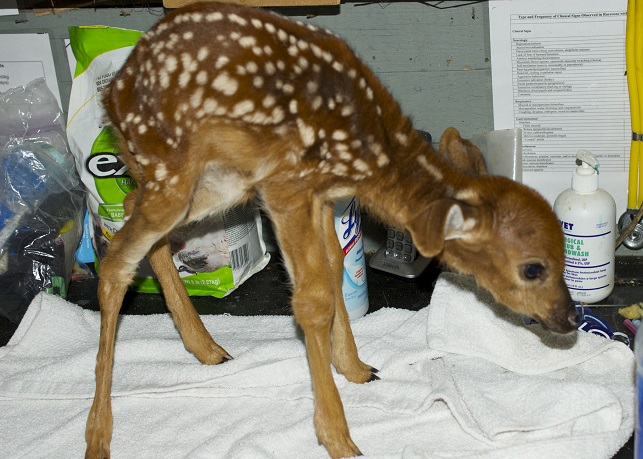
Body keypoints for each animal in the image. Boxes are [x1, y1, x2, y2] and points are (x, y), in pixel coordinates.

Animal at [84, 2, 580, 458]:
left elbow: (336, 264)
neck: (368, 152)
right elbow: (312, 300)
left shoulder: (321, 194)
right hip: (176, 168)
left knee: (131, 207)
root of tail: (111, 99)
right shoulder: (286, 184)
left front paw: (355, 366)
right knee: (115, 261)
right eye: (533, 269)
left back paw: (205, 347)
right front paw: (338, 437)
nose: (571, 318)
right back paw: (98, 436)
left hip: (216, 181)